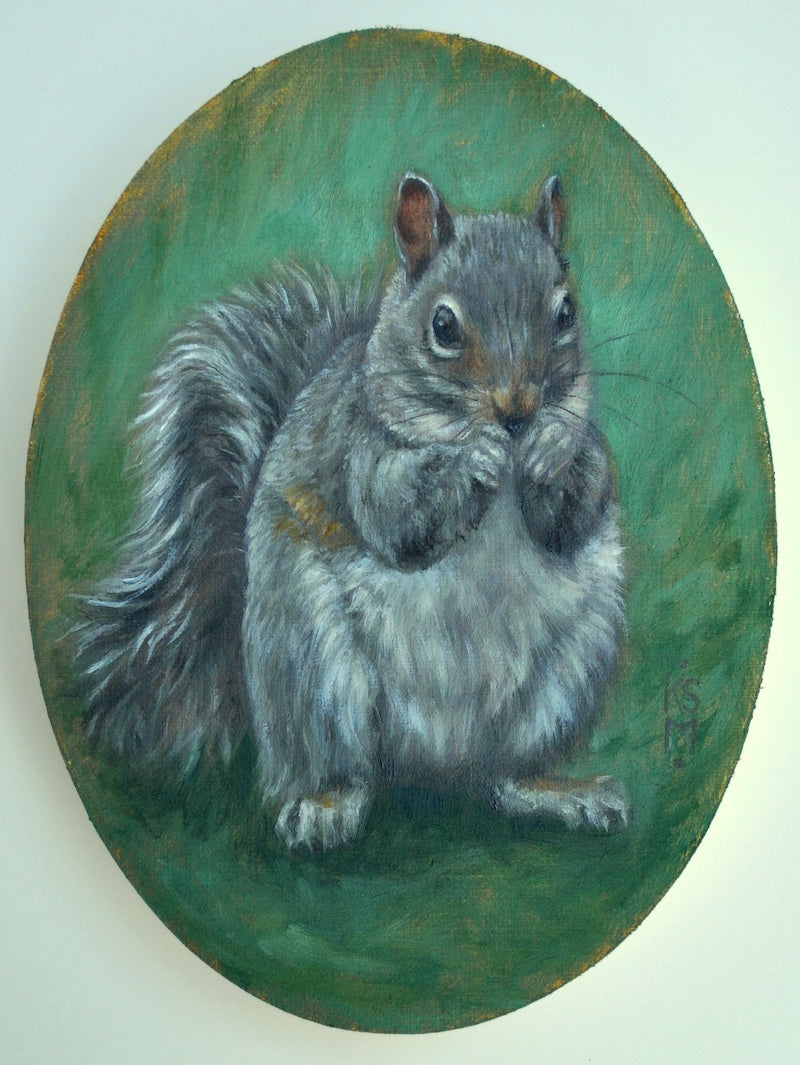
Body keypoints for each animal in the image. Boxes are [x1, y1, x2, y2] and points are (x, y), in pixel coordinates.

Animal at [75, 172, 631, 850]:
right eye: (443, 326)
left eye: (566, 313)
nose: (517, 411)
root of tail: (434, 765)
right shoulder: (359, 449)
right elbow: (396, 516)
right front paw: (472, 456)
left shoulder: (585, 457)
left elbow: (575, 511)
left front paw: (553, 446)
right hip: (309, 664)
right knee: (344, 767)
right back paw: (324, 806)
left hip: (568, 674)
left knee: (503, 778)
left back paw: (560, 792)